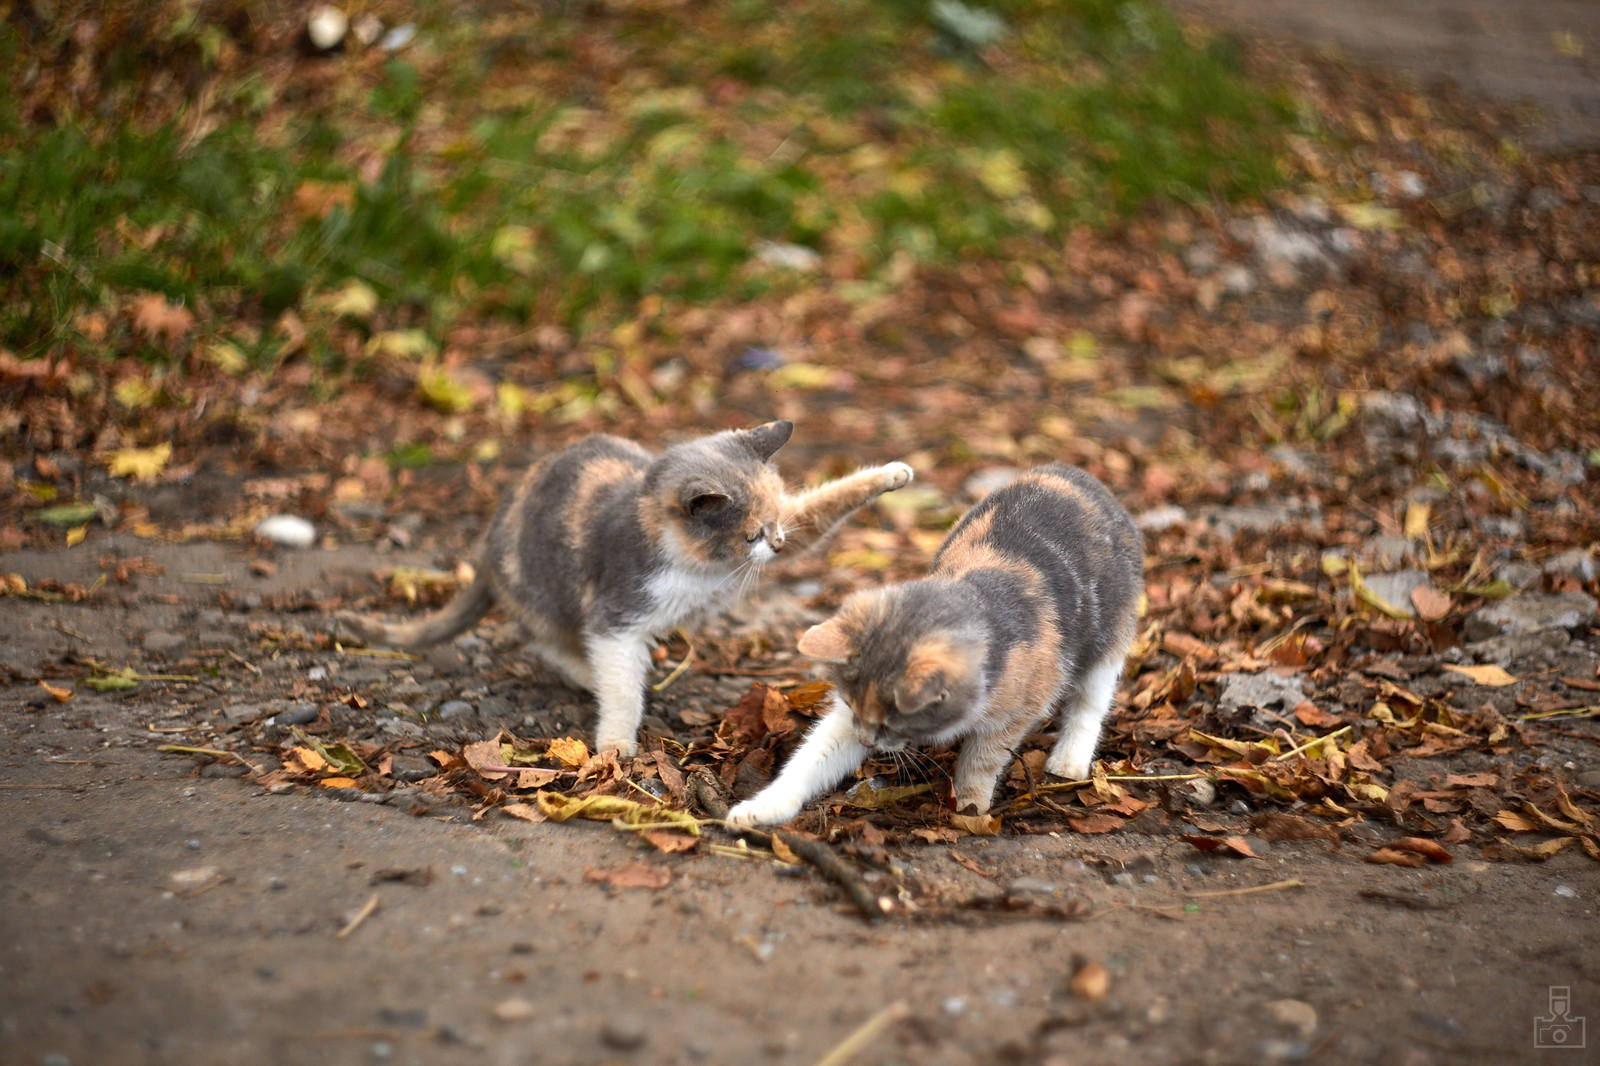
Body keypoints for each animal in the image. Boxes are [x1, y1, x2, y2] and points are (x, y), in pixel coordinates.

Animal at [337, 416, 915, 755]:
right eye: (750, 533)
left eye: (773, 524)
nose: (773, 545)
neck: (700, 567)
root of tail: (488, 542)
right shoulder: (617, 613)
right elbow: (618, 684)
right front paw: (615, 743)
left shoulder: (793, 530)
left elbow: (823, 507)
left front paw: (891, 474)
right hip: (546, 596)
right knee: (543, 641)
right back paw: (586, 674)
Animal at [732, 464, 1145, 819]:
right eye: (851, 706)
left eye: (891, 724)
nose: (866, 742)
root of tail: (1076, 474)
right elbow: (813, 755)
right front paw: (762, 808)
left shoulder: (1015, 713)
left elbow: (981, 760)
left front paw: (969, 809)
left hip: (1111, 642)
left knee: (1090, 703)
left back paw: (1068, 763)